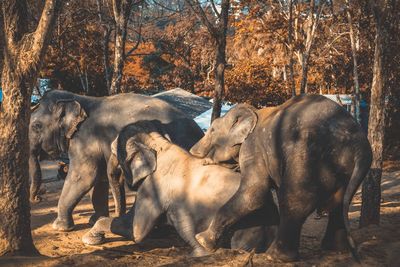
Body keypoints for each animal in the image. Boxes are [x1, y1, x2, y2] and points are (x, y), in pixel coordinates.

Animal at [28, 90, 203, 232]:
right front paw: (95, 220)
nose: (38, 198)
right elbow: (99, 179)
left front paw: (59, 226)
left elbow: (84, 176)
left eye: (36, 126)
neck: (77, 98)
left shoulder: (85, 140)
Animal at [83, 121, 280, 258]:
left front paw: (90, 238)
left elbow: (136, 231)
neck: (158, 143)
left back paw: (197, 254)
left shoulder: (153, 187)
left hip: (246, 227)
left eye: (113, 152)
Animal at [190, 95, 372, 262]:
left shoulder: (253, 147)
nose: (192, 151)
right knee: (339, 203)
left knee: (294, 200)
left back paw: (275, 256)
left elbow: (254, 193)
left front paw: (202, 240)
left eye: (212, 130)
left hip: (306, 156)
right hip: (343, 168)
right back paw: (334, 250)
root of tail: (359, 144)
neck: (254, 112)